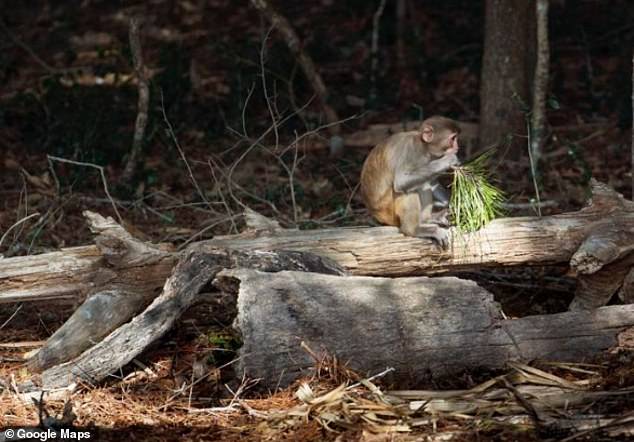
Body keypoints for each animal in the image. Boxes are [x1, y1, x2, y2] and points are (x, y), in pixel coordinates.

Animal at [360, 115, 460, 247]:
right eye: (453, 139)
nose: (457, 147)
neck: (423, 147)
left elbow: (432, 181)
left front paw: (451, 202)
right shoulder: (411, 151)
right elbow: (401, 181)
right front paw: (448, 160)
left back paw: (427, 219)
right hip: (387, 211)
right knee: (408, 190)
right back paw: (414, 229)